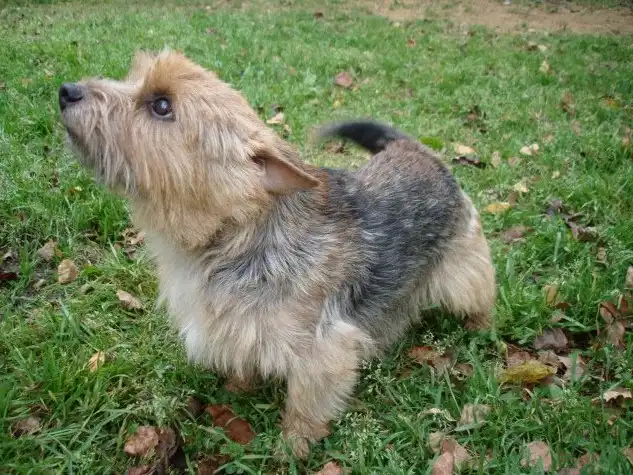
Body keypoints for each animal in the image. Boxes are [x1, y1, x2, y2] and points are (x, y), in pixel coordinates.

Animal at [58, 49, 496, 458]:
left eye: (161, 105)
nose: (66, 91)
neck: (235, 240)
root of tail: (418, 149)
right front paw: (238, 387)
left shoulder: (324, 350)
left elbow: (304, 407)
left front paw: (292, 448)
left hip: (464, 267)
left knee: (479, 296)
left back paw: (480, 326)